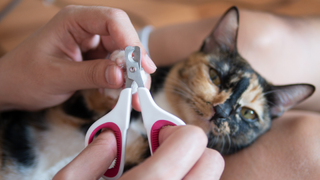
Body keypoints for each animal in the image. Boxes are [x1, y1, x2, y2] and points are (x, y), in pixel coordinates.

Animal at [0, 6, 316, 179]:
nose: (222, 111)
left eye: (249, 114)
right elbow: (91, 98)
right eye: (215, 76)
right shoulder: (68, 106)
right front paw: (117, 65)